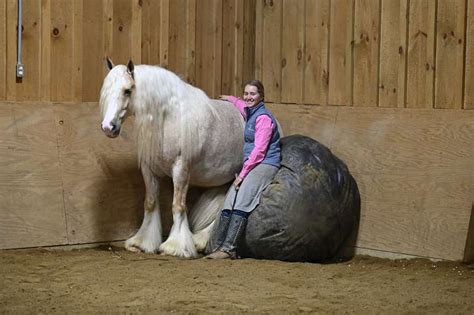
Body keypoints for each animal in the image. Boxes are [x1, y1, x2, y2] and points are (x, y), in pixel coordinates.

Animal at [98, 59, 243, 260]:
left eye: (127, 90)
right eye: (106, 89)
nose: (108, 127)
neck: (170, 119)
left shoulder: (181, 170)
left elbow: (178, 206)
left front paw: (175, 247)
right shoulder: (149, 170)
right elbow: (150, 202)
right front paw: (142, 243)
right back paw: (199, 241)